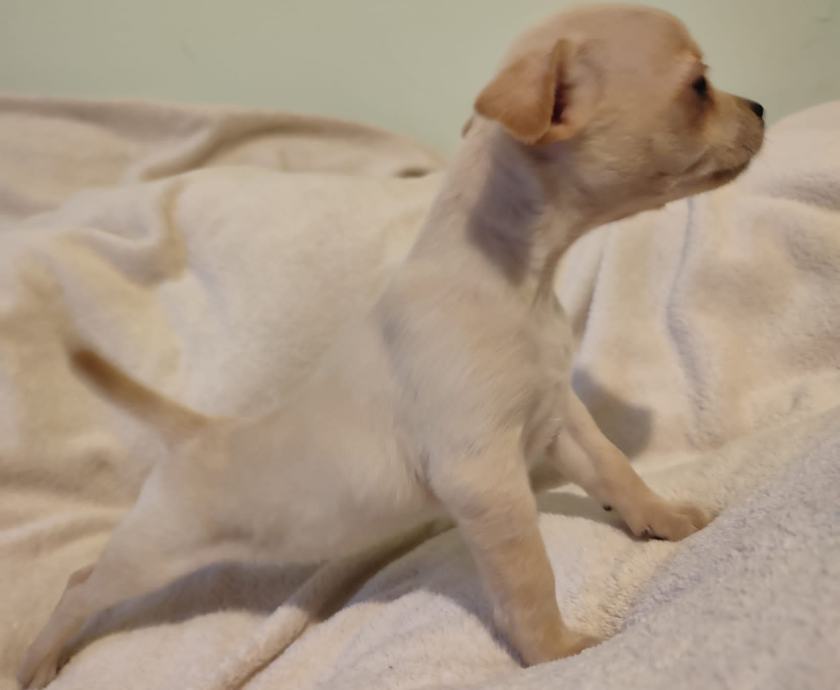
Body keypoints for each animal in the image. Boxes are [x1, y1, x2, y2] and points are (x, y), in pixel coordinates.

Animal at [19, 4, 764, 687]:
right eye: (699, 87)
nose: (759, 104)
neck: (510, 280)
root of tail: (197, 433)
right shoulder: (482, 476)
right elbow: (527, 574)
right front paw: (554, 650)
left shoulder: (559, 420)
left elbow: (615, 469)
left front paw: (663, 518)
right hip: (155, 550)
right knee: (82, 583)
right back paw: (38, 658)